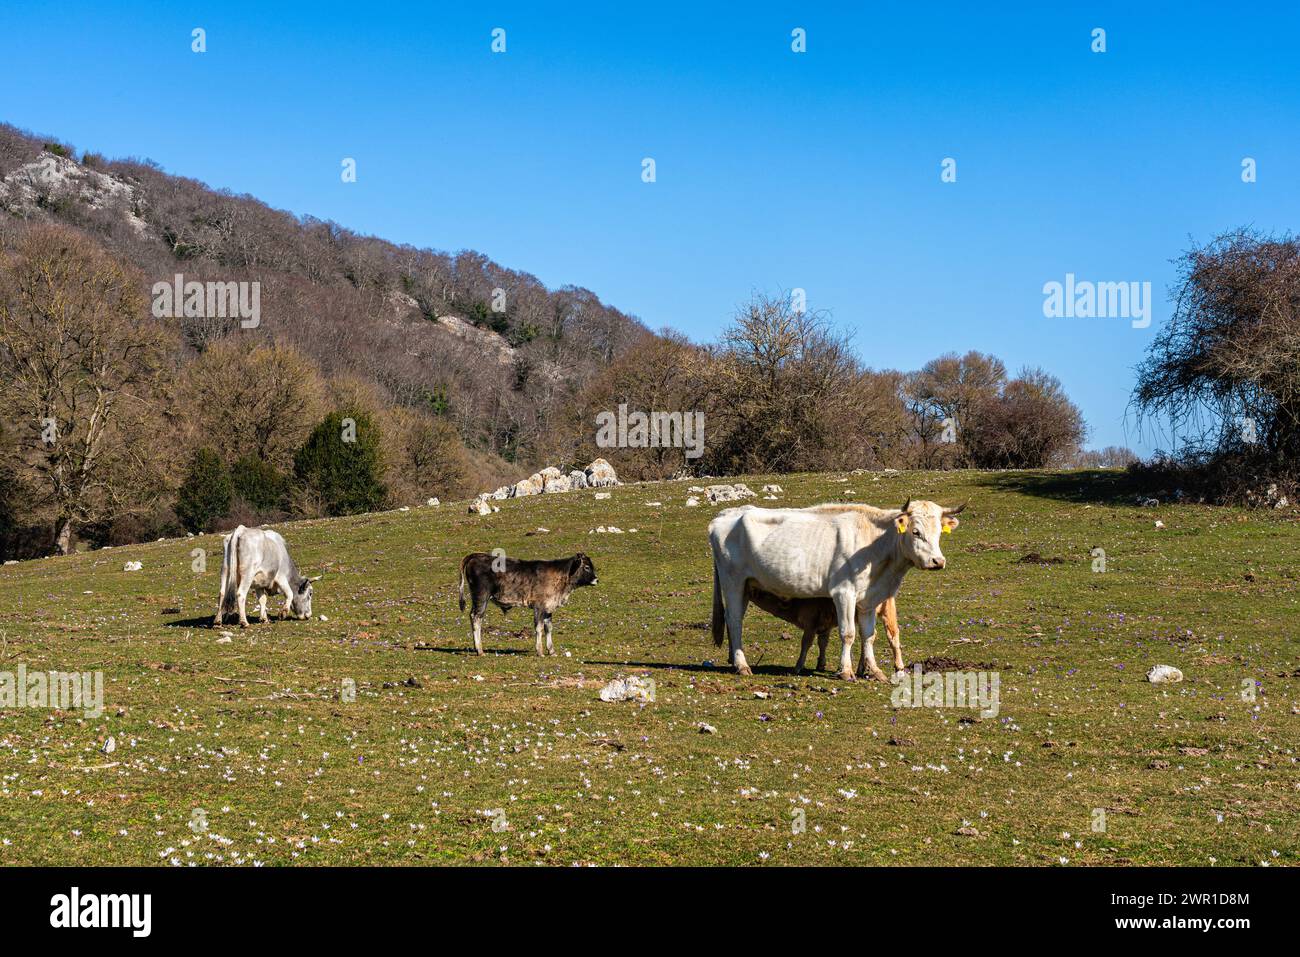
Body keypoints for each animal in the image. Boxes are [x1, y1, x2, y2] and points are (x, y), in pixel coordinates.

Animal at [457, 548, 598, 655]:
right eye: (586, 567)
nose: (597, 579)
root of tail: (477, 555)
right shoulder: (539, 607)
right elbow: (539, 628)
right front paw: (540, 651)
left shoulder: (548, 607)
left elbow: (549, 628)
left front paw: (551, 651)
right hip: (481, 597)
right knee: (476, 618)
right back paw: (479, 650)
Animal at [743, 587, 904, 676]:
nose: (750, 591)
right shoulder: (825, 625)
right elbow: (822, 643)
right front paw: (821, 664)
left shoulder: (810, 624)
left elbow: (806, 643)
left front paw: (798, 666)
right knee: (879, 636)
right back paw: (865, 667)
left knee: (887, 636)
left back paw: (897, 666)